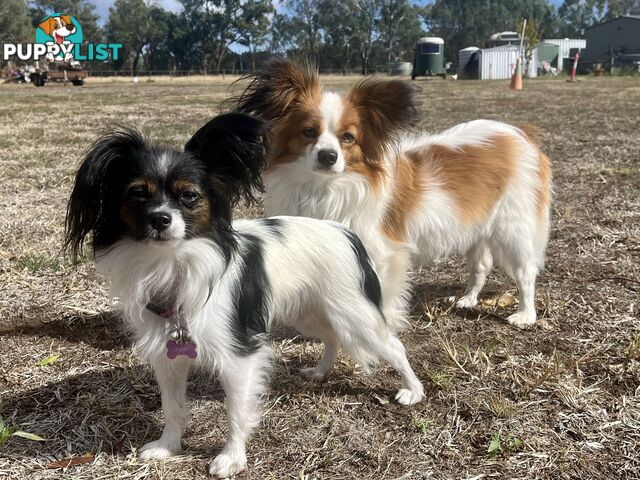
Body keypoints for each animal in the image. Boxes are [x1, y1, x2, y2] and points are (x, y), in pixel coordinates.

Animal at [65, 111, 424, 476]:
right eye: (138, 193)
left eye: (189, 196)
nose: (160, 219)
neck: (172, 263)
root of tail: (343, 231)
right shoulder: (168, 356)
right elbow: (173, 407)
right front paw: (168, 446)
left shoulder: (240, 355)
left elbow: (236, 412)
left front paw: (231, 458)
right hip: (308, 312)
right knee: (331, 337)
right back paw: (320, 371)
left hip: (354, 315)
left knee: (393, 346)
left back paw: (413, 391)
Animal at [232, 59, 552, 330]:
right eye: (308, 132)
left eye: (348, 138)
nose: (328, 156)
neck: (326, 187)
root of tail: (519, 133)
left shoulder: (382, 253)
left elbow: (381, 296)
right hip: (477, 228)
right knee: (481, 266)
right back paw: (467, 299)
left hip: (513, 228)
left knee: (525, 273)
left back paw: (525, 315)